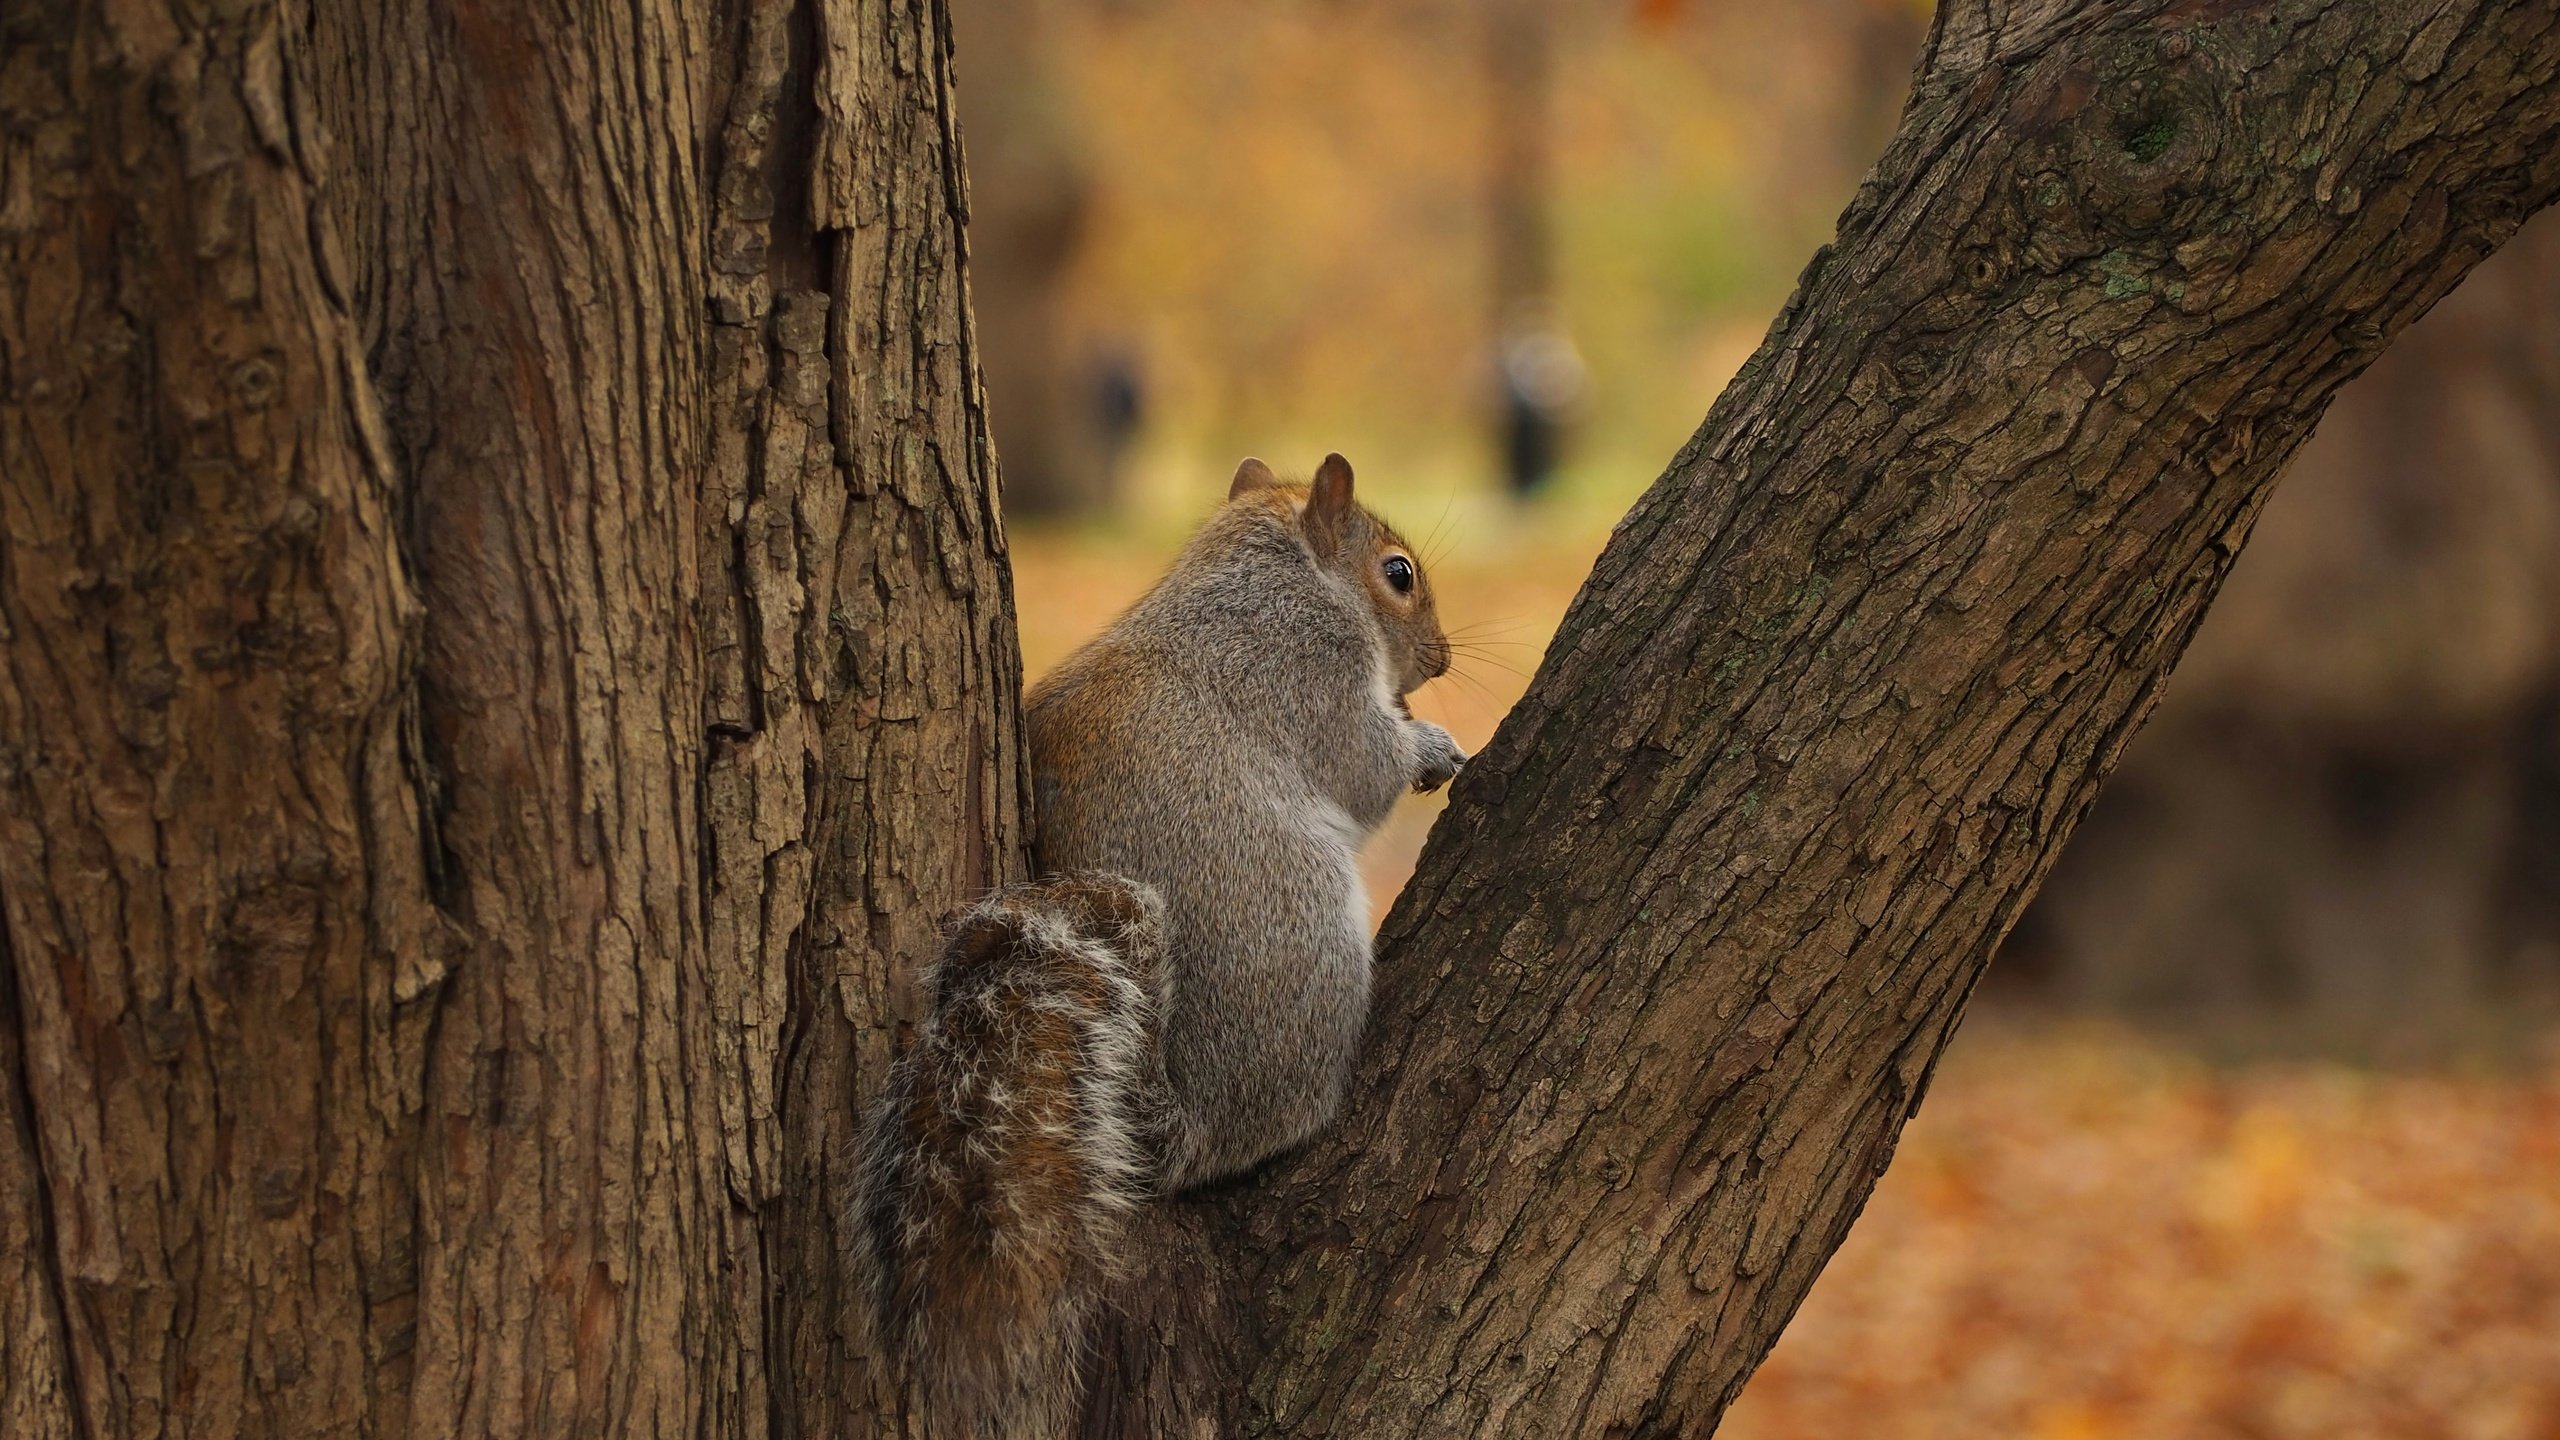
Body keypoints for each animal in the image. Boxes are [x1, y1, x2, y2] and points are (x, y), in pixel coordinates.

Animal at [855, 453, 1464, 1424]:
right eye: (1398, 573)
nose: (1441, 658)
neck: (1266, 569)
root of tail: (1187, 1119)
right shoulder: (1307, 669)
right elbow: (1365, 764)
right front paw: (1431, 747)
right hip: (1307, 936)